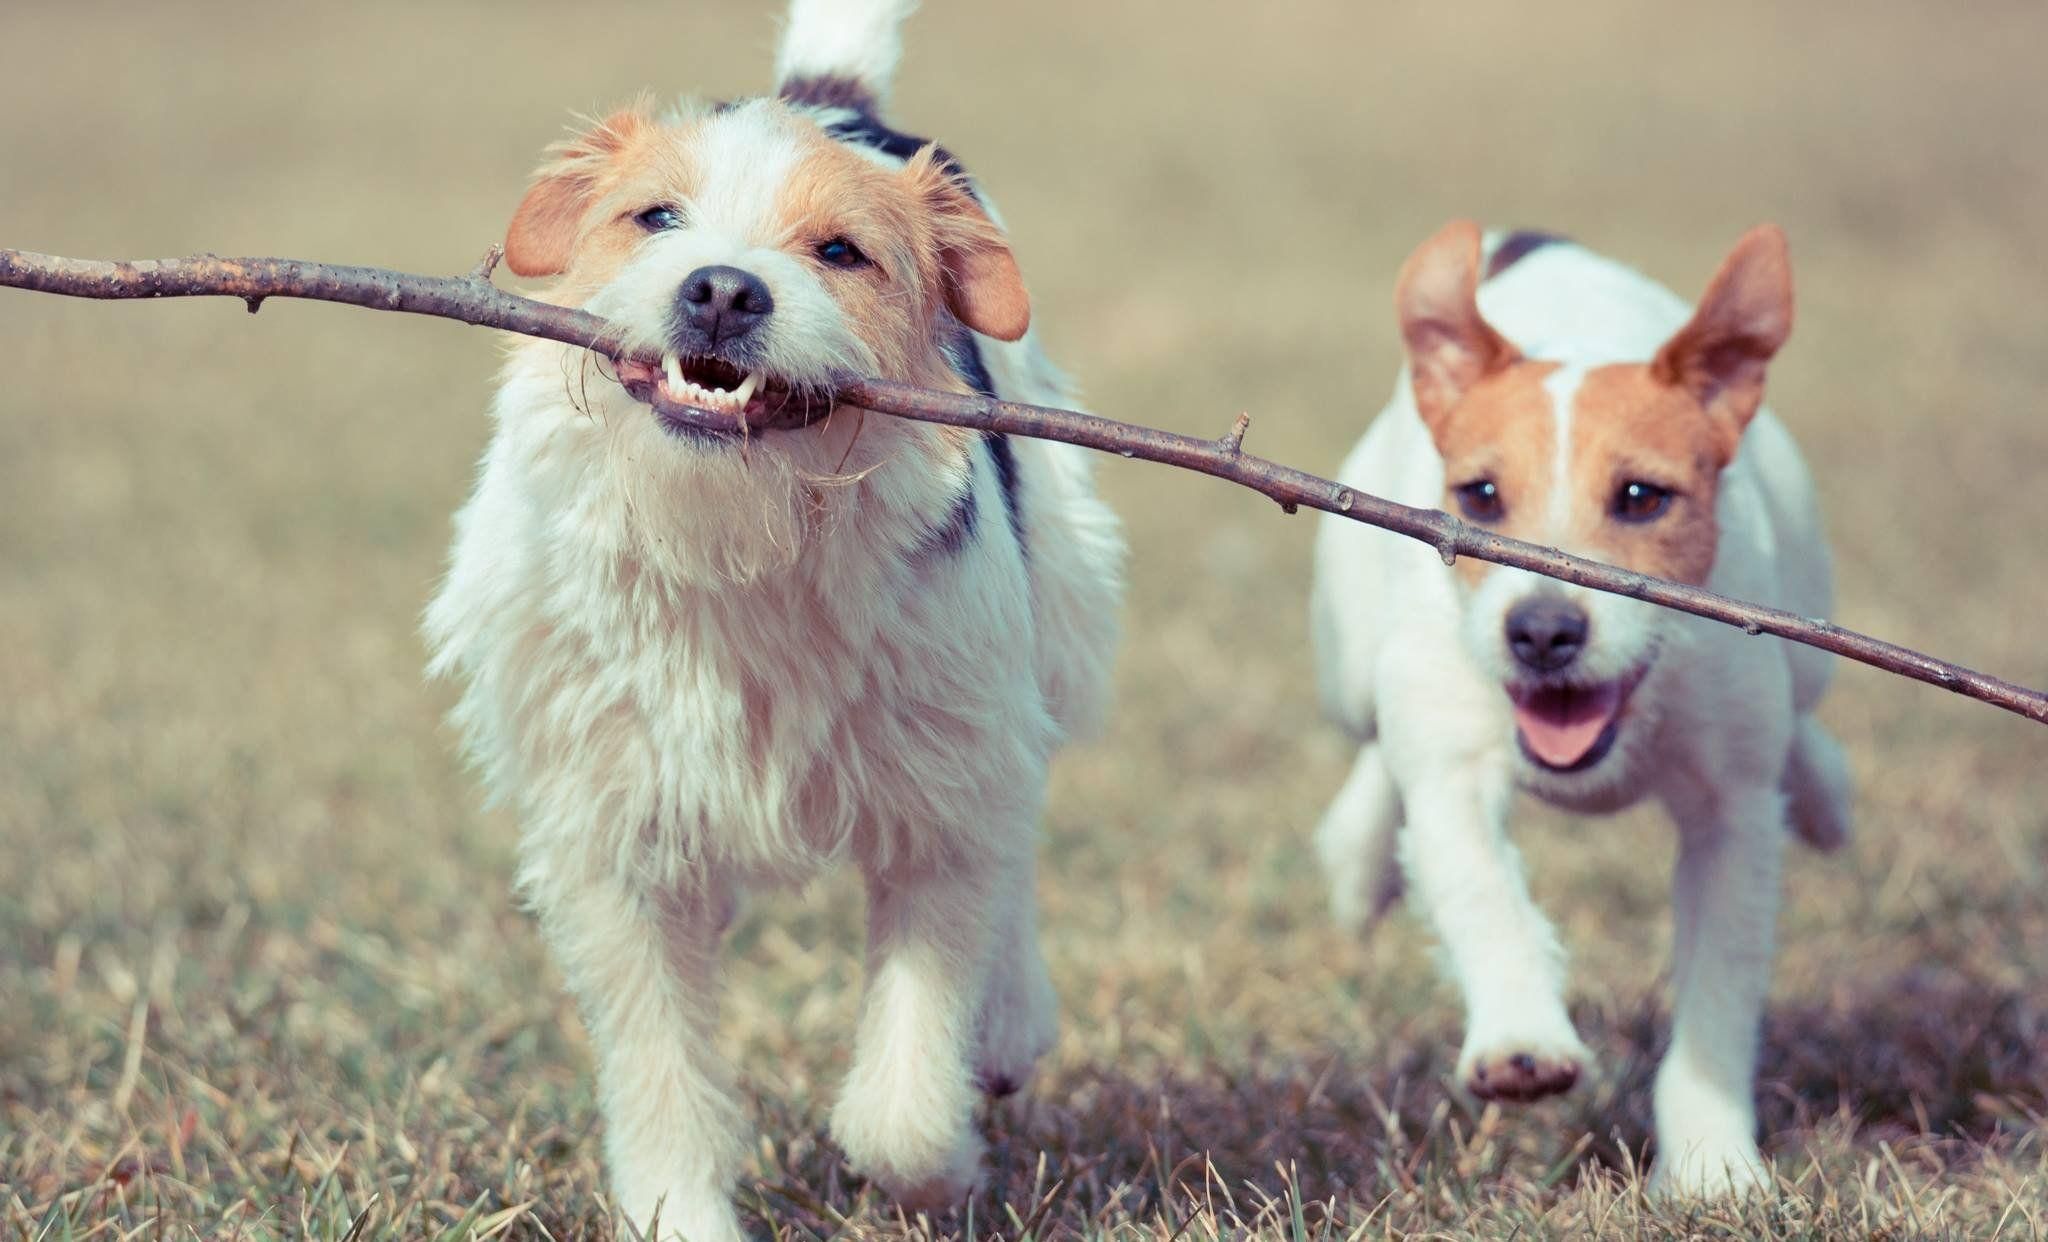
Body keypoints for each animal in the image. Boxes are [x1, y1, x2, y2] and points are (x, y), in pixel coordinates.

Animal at [419, 4, 1122, 1237]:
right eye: (655, 217)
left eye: (839, 252)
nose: (721, 291)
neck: (734, 533)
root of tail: (826, 93)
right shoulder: (615, 843)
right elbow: (660, 1070)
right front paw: (682, 1211)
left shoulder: (937, 797)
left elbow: (905, 1097)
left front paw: (941, 1161)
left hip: (1053, 617)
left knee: (1022, 811)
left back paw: (1008, 1025)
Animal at [1310, 221, 1859, 1196]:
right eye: (1480, 496)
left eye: (1641, 497)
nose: (1541, 631)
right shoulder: (1451, 770)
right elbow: (1478, 886)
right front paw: (1520, 1041)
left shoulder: (1731, 815)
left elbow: (1719, 989)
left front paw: (1712, 1166)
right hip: (1347, 655)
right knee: (1374, 735)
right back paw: (1360, 855)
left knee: (1803, 713)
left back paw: (1824, 789)